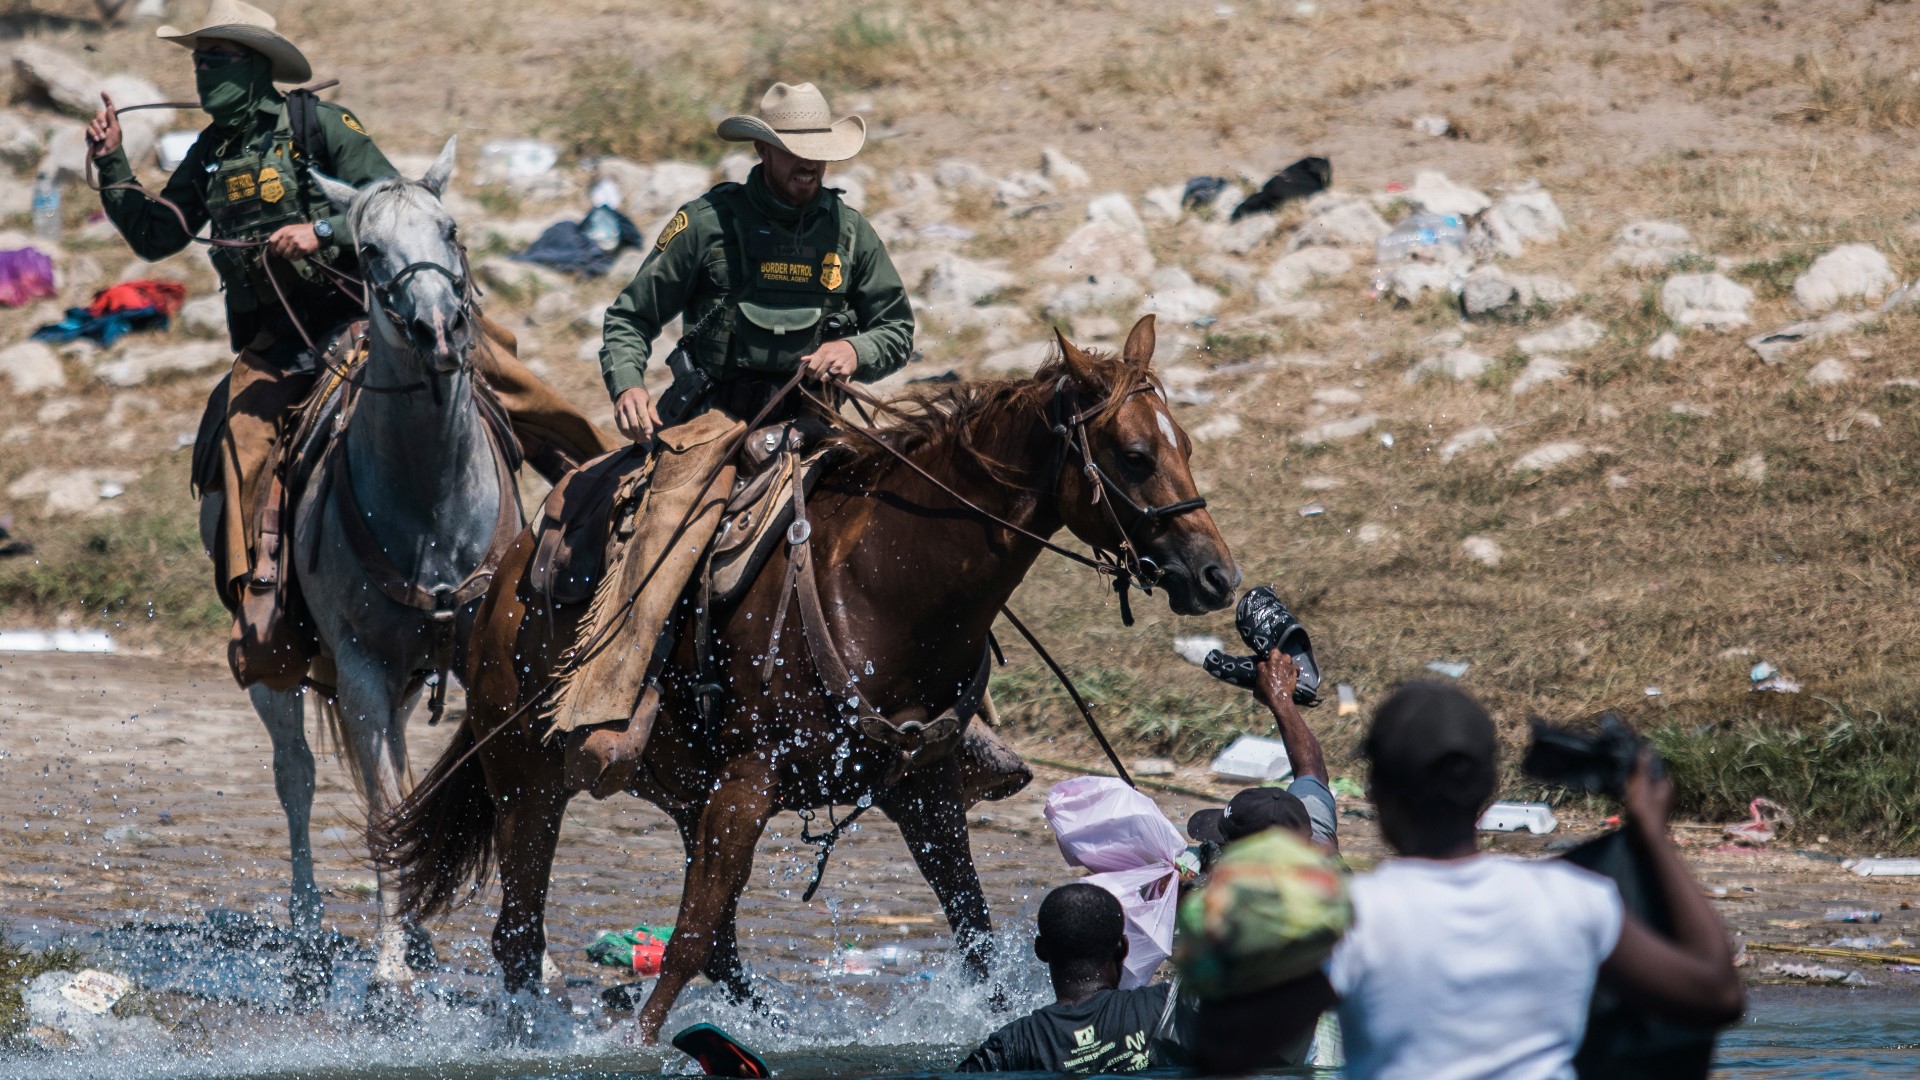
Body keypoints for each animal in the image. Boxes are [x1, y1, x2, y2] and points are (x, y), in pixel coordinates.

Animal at [203, 141, 518, 991]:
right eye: (369, 249)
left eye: (450, 229)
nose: (439, 329)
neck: (431, 503)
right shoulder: (362, 672)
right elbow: (378, 811)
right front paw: (388, 969)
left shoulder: (474, 659)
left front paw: (527, 960)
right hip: (280, 666)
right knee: (298, 776)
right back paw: (311, 927)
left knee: (401, 780)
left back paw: (419, 933)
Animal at [382, 315, 1236, 1037]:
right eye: (1135, 456)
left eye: (1189, 447)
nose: (1216, 575)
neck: (884, 586)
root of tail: (506, 577)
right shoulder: (749, 784)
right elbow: (687, 939)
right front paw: (641, 1042)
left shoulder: (922, 791)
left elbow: (975, 934)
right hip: (526, 778)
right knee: (521, 934)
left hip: (681, 791)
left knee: (715, 946)